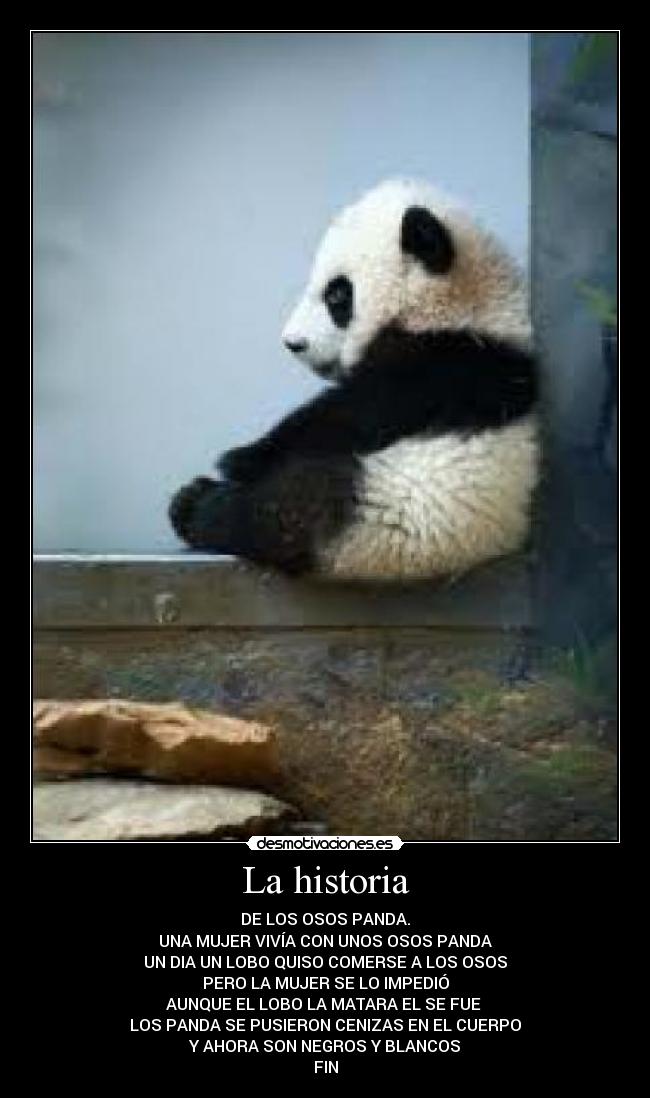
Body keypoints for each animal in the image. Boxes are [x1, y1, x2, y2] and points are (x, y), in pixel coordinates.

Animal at [169, 178, 539, 580]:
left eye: (337, 295)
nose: (292, 342)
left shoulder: (450, 365)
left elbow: (350, 414)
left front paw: (241, 457)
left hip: (385, 511)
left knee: (291, 506)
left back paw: (197, 505)